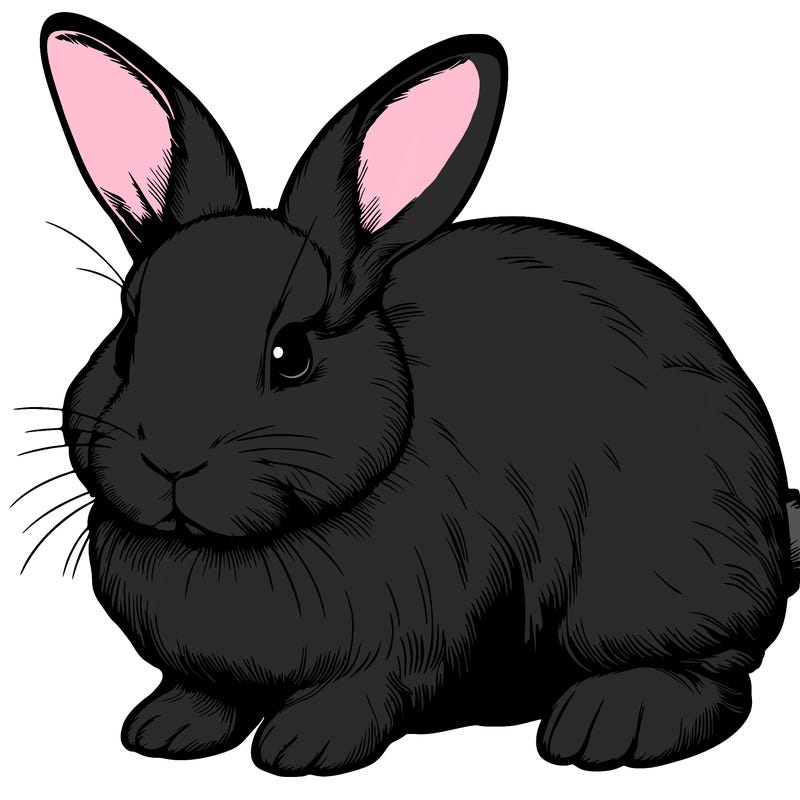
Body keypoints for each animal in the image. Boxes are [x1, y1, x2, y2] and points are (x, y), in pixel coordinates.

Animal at [39, 11, 800, 775]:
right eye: (127, 341)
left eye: (291, 355)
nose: (169, 458)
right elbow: (204, 689)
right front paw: (164, 731)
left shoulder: (414, 635)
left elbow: (368, 687)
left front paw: (304, 747)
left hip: (658, 567)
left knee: (714, 670)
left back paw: (610, 724)